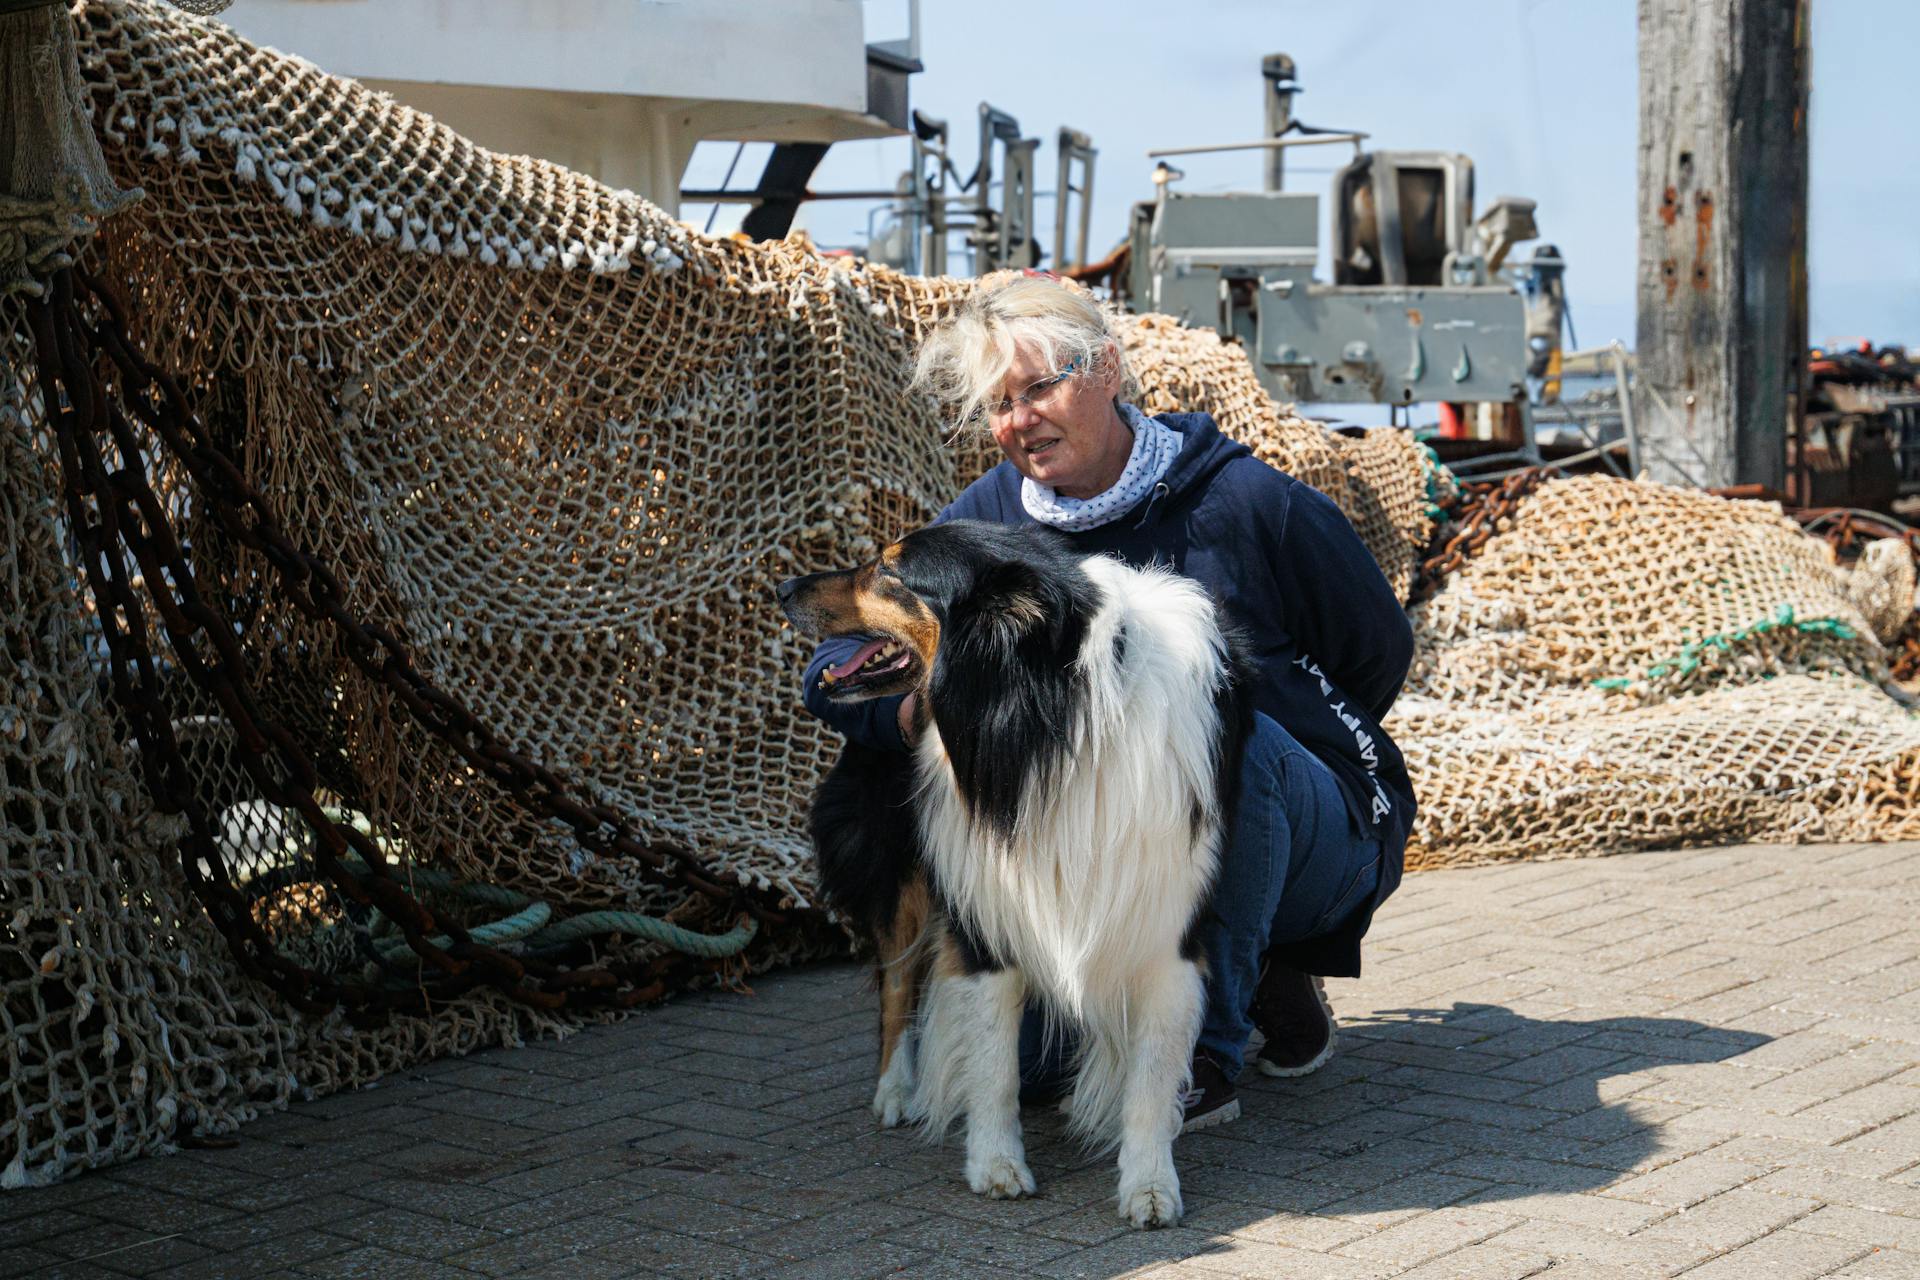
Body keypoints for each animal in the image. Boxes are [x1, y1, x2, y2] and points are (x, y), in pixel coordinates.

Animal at [779, 521, 1259, 1228]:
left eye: (890, 573)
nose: (783, 587)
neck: (1052, 713)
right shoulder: (984, 914)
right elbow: (992, 1060)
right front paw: (996, 1164)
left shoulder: (1168, 928)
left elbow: (1150, 1076)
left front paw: (1149, 1186)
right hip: (903, 877)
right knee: (896, 983)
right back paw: (896, 1091)